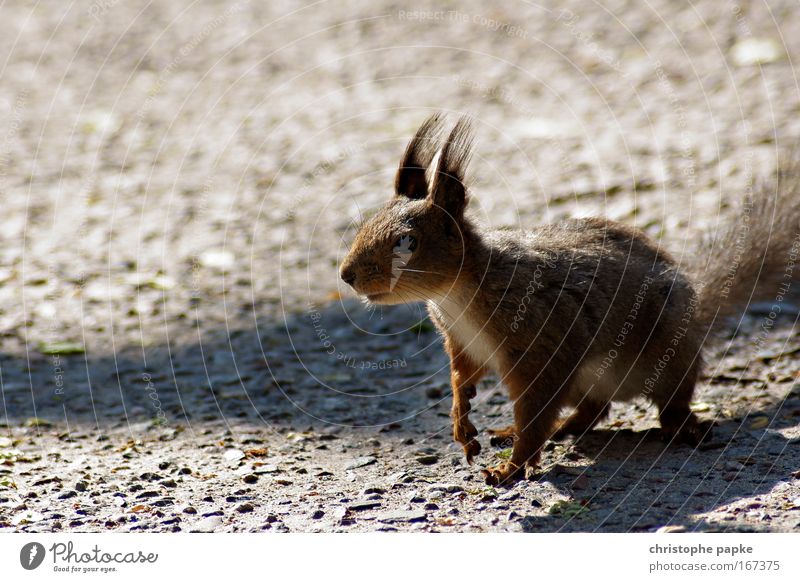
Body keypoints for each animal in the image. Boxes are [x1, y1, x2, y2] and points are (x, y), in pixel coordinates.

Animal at [338, 114, 800, 488]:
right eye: (366, 224)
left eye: (407, 241)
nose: (346, 275)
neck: (456, 296)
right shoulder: (462, 342)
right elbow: (461, 378)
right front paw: (461, 422)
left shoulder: (543, 342)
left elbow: (535, 409)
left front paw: (510, 468)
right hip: (587, 379)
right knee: (595, 409)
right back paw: (551, 427)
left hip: (666, 352)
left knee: (670, 399)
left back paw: (682, 426)